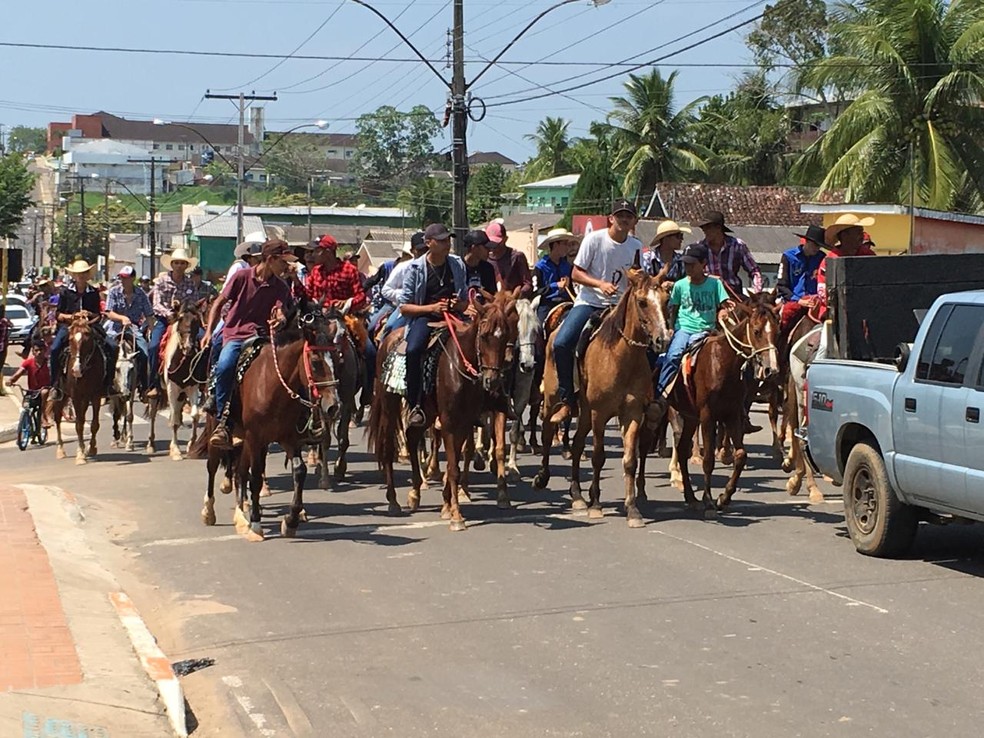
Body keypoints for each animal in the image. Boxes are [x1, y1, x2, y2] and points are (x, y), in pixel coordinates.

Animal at [52, 312, 106, 462]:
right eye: (70, 339)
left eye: (88, 338)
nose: (76, 370)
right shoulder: (75, 396)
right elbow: (79, 425)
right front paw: (81, 455)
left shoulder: (96, 396)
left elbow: (94, 424)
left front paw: (91, 448)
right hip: (61, 394)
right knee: (57, 417)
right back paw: (60, 449)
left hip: (85, 399)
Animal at [145, 296, 207, 458]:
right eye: (180, 319)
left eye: (196, 320)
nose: (189, 347)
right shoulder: (172, 388)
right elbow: (173, 420)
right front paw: (176, 450)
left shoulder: (192, 387)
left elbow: (194, 416)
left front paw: (192, 444)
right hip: (159, 392)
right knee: (153, 414)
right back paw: (151, 444)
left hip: (181, 394)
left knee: (178, 414)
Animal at [211, 300, 342, 540]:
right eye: (316, 362)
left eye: (336, 359)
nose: (333, 406)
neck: (272, 385)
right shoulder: (255, 438)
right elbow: (255, 477)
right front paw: (255, 524)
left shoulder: (288, 437)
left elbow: (299, 472)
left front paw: (291, 520)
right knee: (214, 465)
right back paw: (210, 511)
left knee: (240, 472)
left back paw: (240, 514)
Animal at [368, 288, 524, 528]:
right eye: (484, 336)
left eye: (507, 332)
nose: (494, 380)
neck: (461, 365)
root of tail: (389, 339)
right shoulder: (450, 421)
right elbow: (453, 467)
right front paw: (456, 516)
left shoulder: (466, 419)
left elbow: (458, 462)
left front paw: (448, 506)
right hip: (389, 404)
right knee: (387, 447)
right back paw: (393, 501)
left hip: (428, 410)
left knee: (412, 436)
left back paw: (415, 493)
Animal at [536, 262, 672, 528]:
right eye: (642, 302)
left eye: (666, 299)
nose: (662, 339)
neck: (621, 356)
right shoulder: (600, 413)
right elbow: (598, 456)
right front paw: (597, 505)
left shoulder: (632, 413)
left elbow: (630, 460)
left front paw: (632, 510)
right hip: (553, 400)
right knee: (547, 433)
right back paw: (543, 477)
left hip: (584, 412)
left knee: (578, 444)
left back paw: (577, 495)